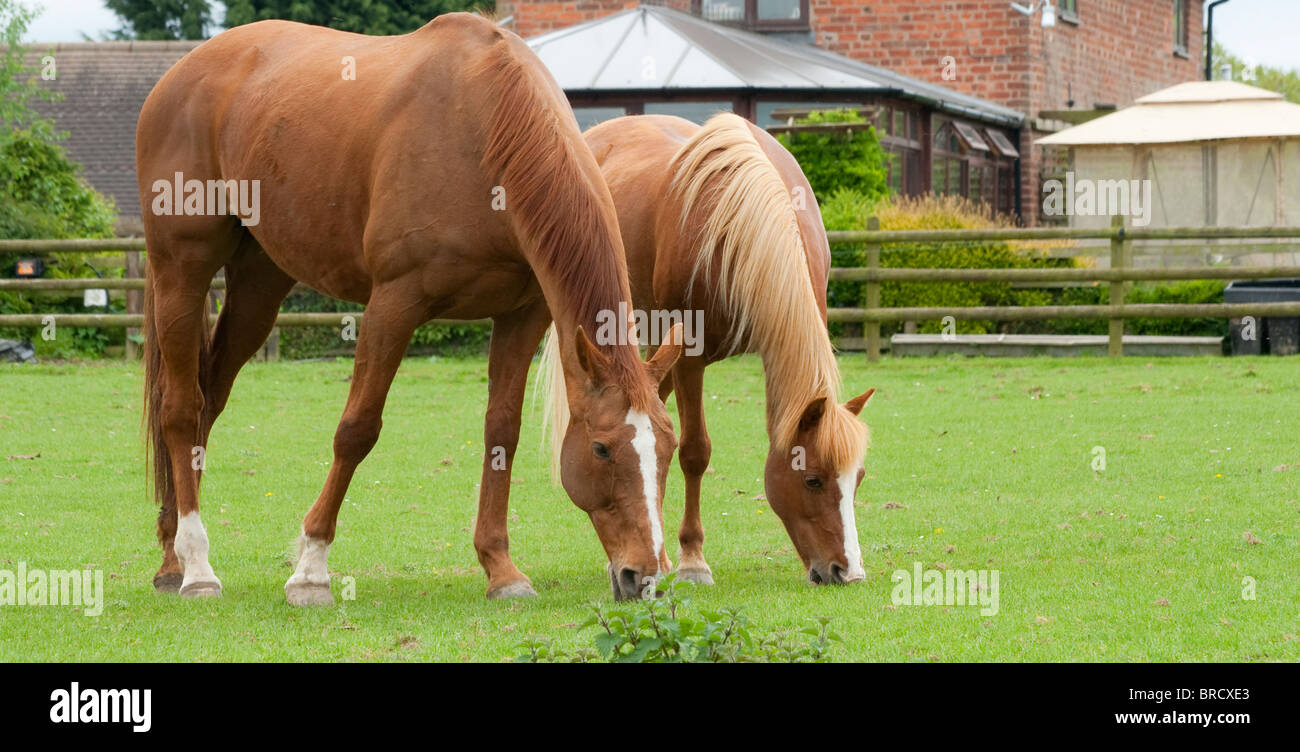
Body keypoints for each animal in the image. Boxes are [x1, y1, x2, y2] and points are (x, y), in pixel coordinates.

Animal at [135, 13, 682, 604]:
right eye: (602, 449)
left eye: (669, 450)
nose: (644, 577)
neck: (486, 131)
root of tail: (179, 75)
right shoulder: (393, 305)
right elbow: (357, 429)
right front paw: (311, 569)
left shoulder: (523, 316)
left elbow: (502, 433)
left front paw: (501, 569)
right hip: (181, 270)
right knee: (180, 408)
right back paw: (196, 566)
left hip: (260, 286)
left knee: (208, 402)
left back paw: (171, 556)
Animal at [542, 113, 875, 587]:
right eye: (813, 480)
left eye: (857, 478)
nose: (847, 571)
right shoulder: (690, 360)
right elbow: (694, 452)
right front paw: (692, 560)